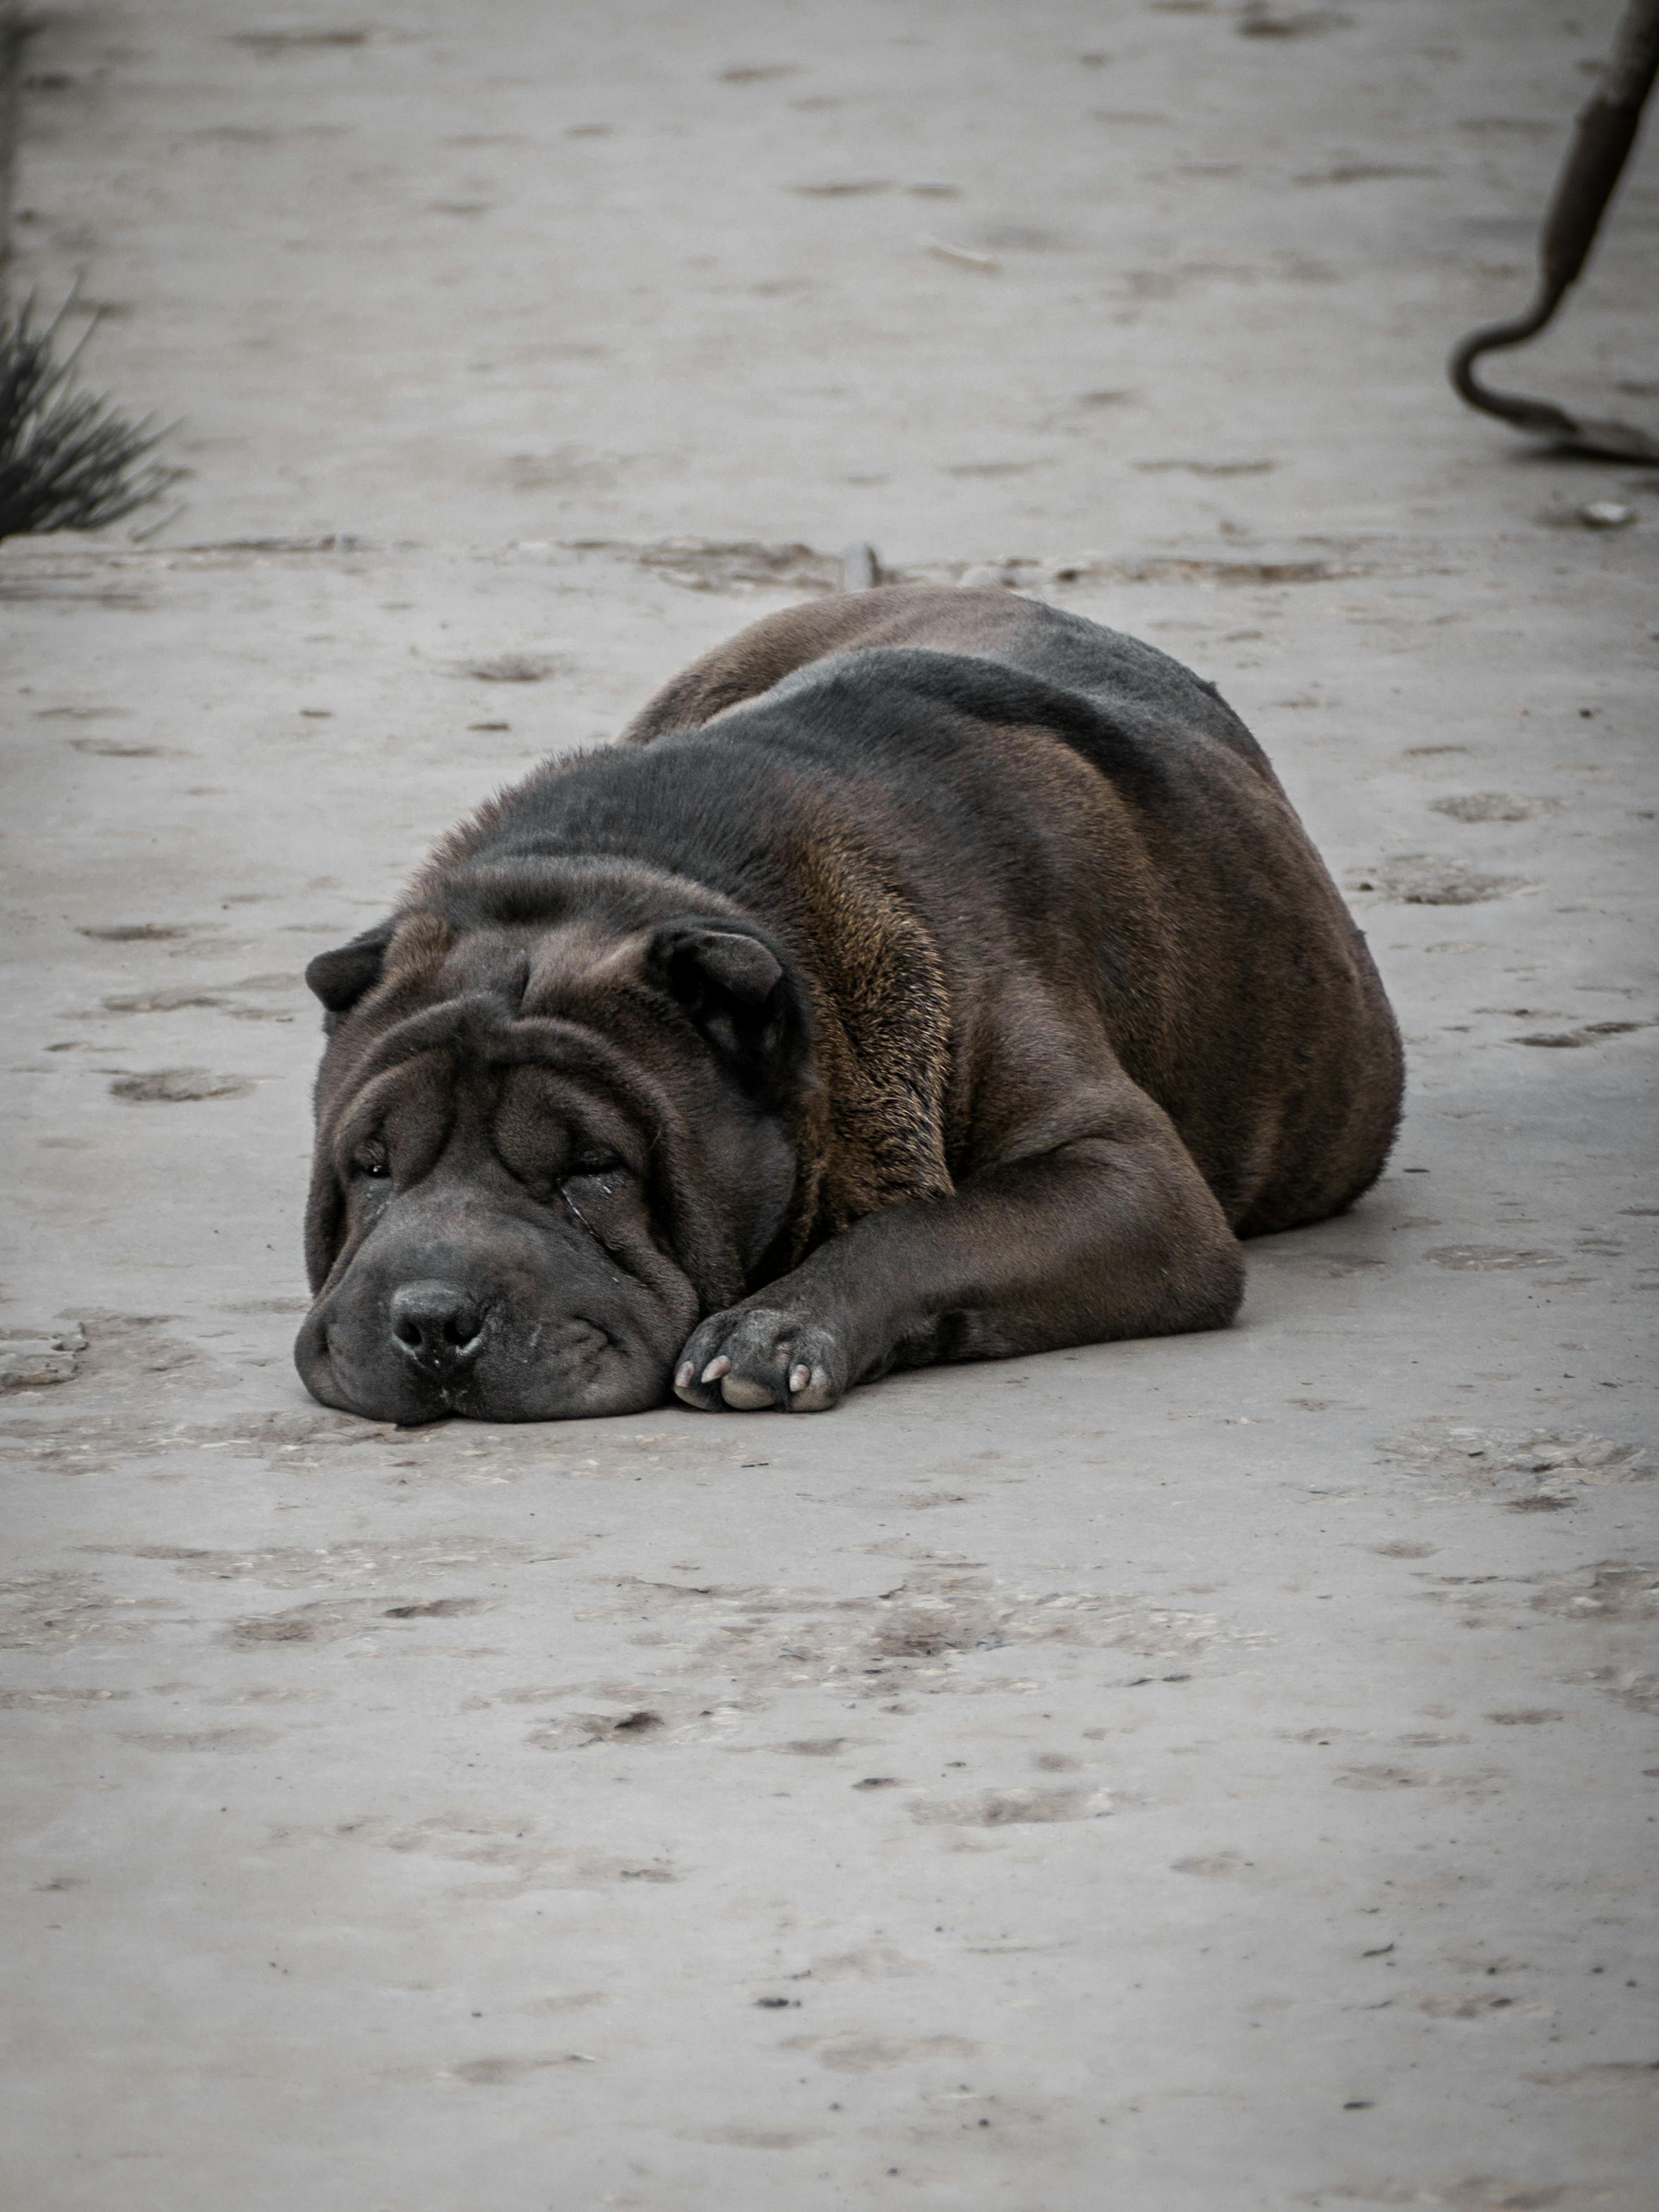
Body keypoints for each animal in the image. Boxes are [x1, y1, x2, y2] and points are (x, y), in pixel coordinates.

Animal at [299, 584, 1406, 1415]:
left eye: (594, 1169)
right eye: (370, 1165)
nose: (433, 1319)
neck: (624, 870)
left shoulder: (1129, 1178)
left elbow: (934, 1228)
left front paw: (780, 1323)